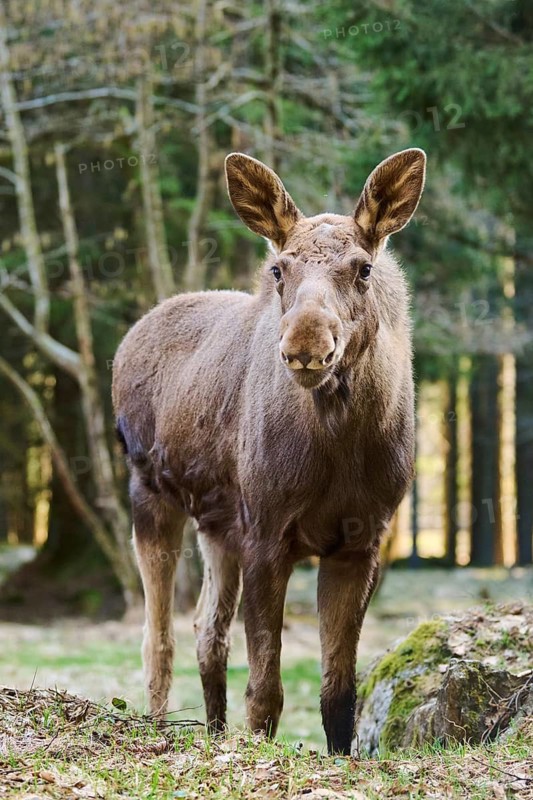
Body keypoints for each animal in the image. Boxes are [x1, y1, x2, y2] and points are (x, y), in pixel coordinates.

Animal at [112, 148, 426, 755]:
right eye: (278, 268)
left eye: (364, 267)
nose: (305, 344)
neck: (339, 445)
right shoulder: (266, 532)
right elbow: (266, 692)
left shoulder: (361, 540)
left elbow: (338, 694)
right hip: (151, 493)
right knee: (157, 640)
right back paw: (160, 732)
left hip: (217, 524)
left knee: (206, 632)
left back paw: (212, 734)